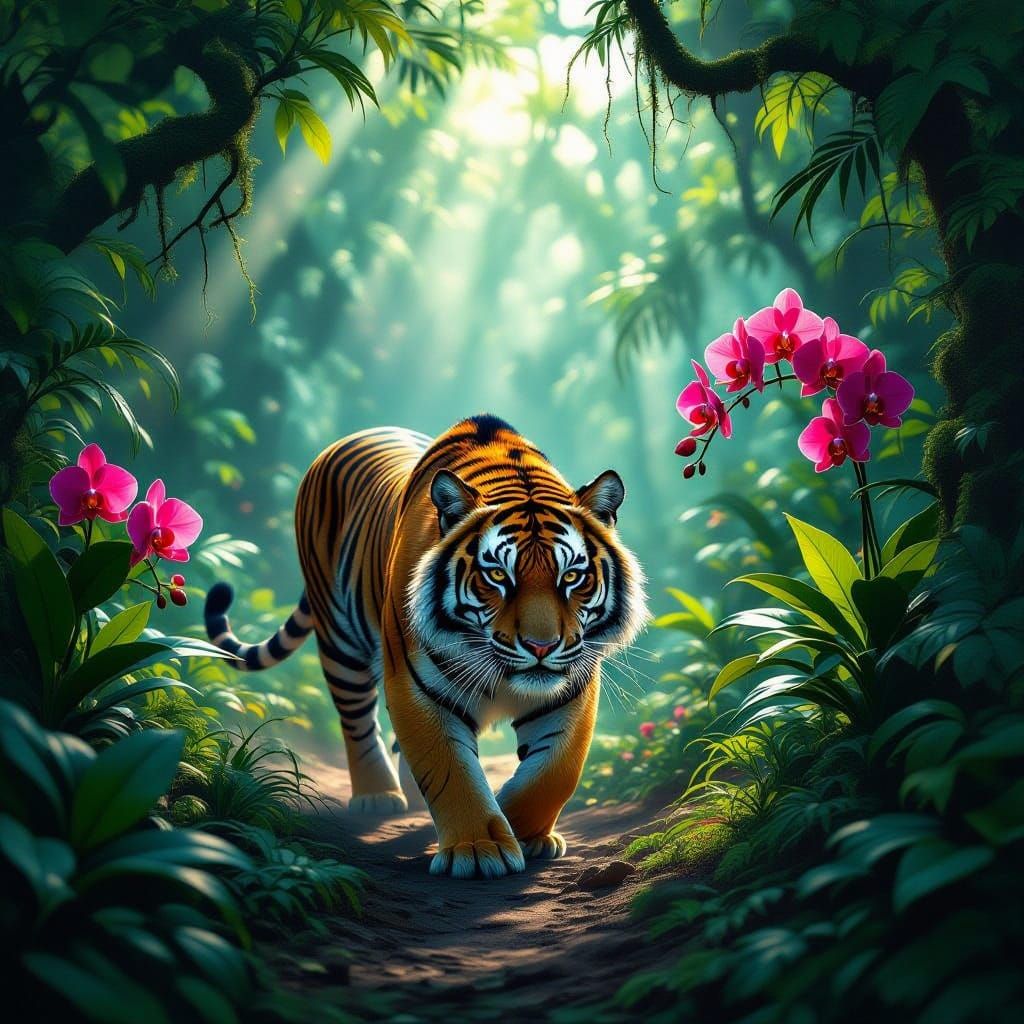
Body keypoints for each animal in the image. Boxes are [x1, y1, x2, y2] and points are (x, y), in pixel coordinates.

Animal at [204, 415, 647, 879]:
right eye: (497, 576)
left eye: (572, 577)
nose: (540, 646)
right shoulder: (417, 685)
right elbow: (450, 768)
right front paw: (479, 848)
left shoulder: (572, 688)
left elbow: (556, 771)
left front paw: (523, 831)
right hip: (340, 640)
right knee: (356, 720)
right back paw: (377, 796)